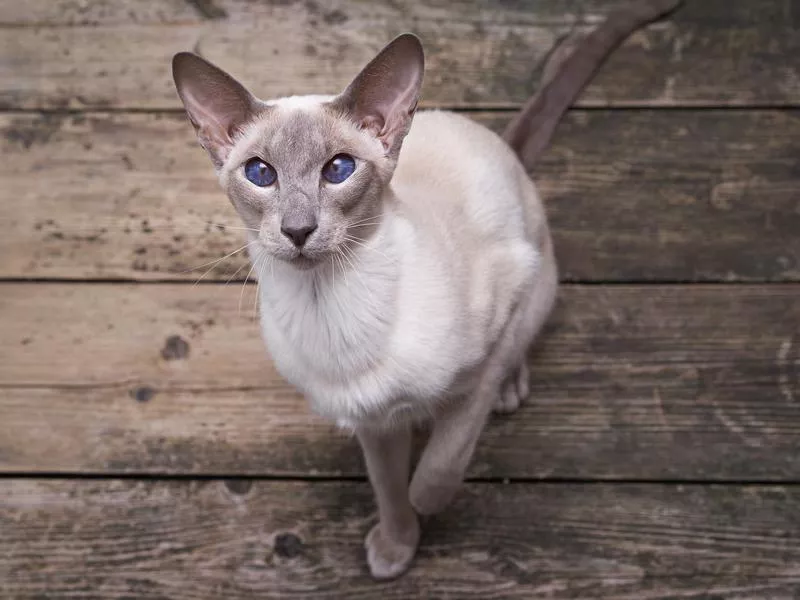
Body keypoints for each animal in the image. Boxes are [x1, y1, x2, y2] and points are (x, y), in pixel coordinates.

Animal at [170, 0, 680, 580]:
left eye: (338, 169)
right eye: (260, 174)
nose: (298, 230)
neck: (330, 305)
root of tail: (501, 143)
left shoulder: (483, 358)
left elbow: (439, 466)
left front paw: (425, 506)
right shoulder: (372, 423)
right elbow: (388, 488)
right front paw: (397, 546)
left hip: (535, 278)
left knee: (519, 346)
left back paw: (510, 390)